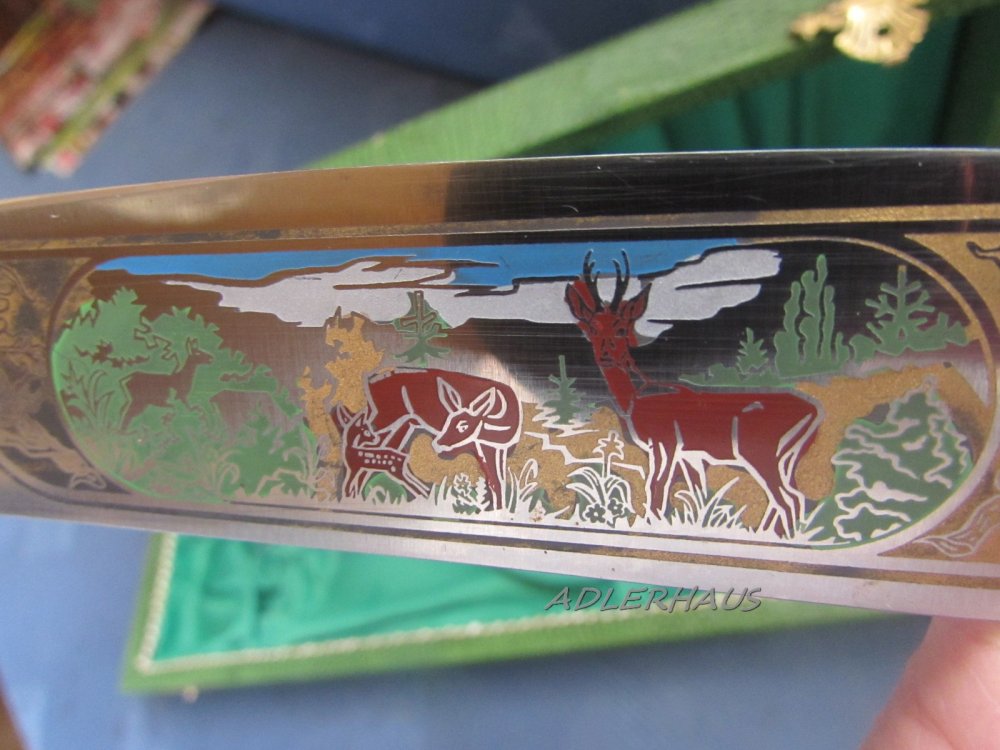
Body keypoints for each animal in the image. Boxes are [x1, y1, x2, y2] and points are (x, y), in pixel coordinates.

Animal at [331, 369, 522, 510]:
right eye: (449, 421)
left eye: (463, 425)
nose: (437, 444)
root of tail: (371, 381)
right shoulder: (480, 444)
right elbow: (494, 480)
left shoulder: (496, 447)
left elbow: (497, 482)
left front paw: (499, 509)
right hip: (385, 421)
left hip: (405, 424)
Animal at [565, 253, 821, 538]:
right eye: (591, 328)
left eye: (622, 328)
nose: (606, 355)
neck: (637, 398)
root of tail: (814, 412)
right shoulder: (691, 455)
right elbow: (698, 495)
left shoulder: (664, 443)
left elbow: (657, 486)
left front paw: (652, 524)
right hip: (788, 459)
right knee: (790, 498)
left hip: (758, 452)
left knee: (788, 499)